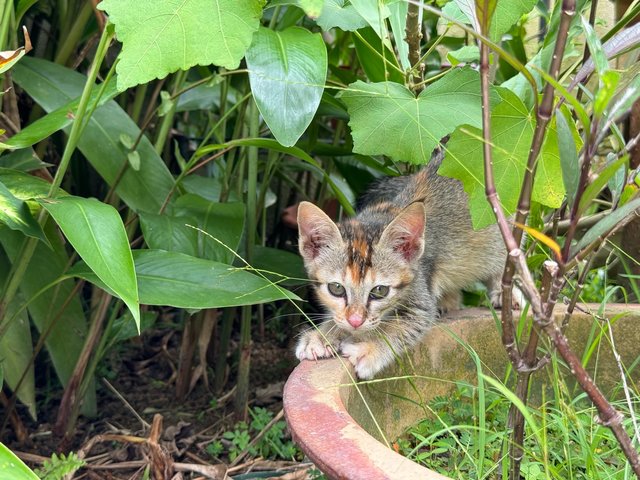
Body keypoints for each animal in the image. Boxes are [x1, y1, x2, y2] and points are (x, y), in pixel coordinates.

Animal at [296, 158, 516, 378]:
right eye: (336, 288)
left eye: (380, 290)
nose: (356, 321)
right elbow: (339, 318)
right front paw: (323, 335)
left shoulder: (421, 296)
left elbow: (402, 326)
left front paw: (369, 347)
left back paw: (504, 292)